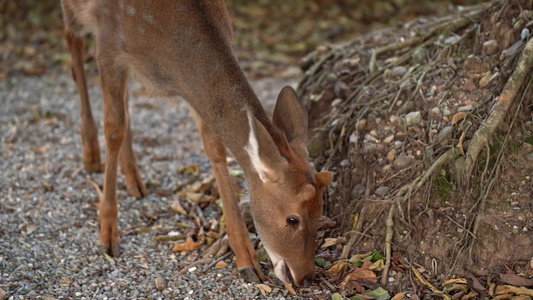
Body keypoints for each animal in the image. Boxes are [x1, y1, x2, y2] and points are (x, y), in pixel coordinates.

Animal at [60, 0, 330, 288]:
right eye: (293, 219)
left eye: (320, 211)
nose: (305, 277)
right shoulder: (108, 43)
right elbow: (113, 128)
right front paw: (108, 234)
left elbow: (214, 147)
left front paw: (246, 260)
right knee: (73, 49)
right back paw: (91, 154)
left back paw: (134, 178)